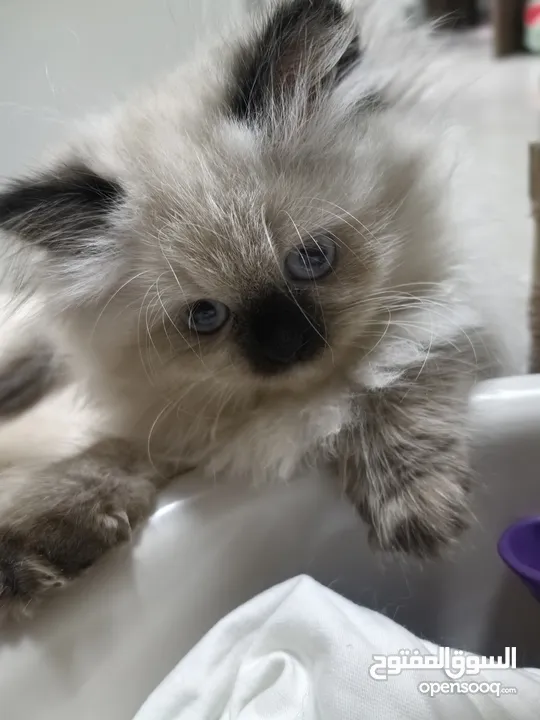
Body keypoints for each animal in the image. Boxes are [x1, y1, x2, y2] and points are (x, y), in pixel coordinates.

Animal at [0, 0, 524, 612]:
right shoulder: (175, 422)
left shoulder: (447, 312)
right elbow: (103, 459)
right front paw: (26, 551)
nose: (287, 344)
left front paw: (415, 510)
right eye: (205, 316)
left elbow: (396, 378)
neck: (299, 405)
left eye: (312, 258)